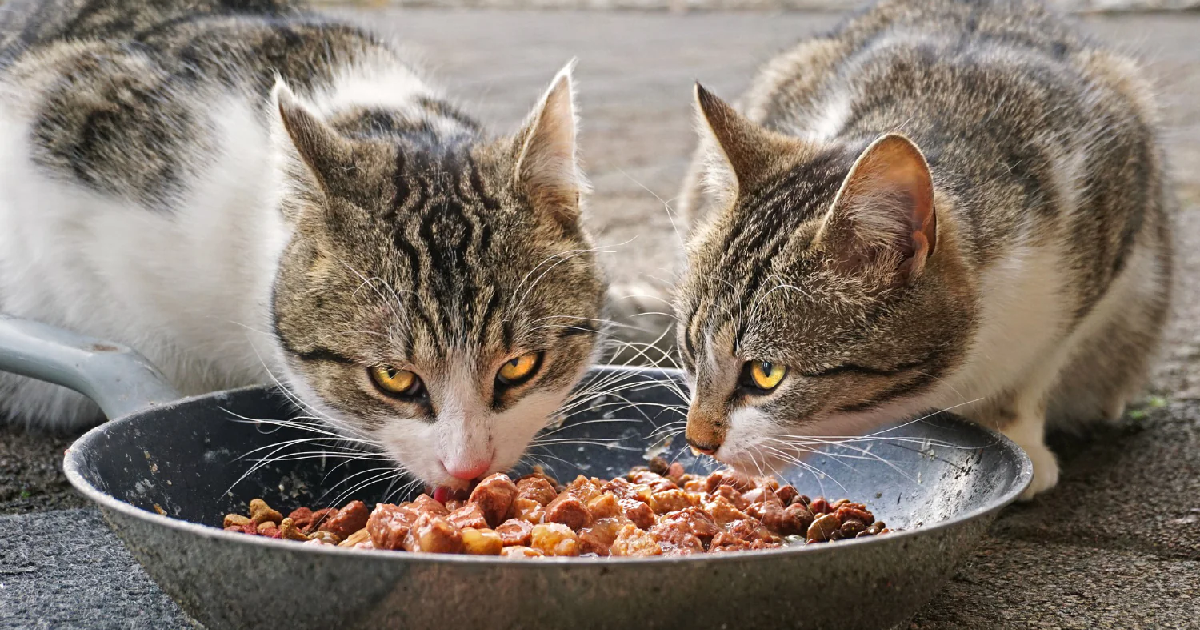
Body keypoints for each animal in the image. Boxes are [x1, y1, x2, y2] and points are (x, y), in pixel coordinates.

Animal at [676, 1, 1171, 501]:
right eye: (690, 347)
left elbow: (1036, 368)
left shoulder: (1109, 219)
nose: (697, 441)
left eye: (766, 372)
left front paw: (1018, 436)